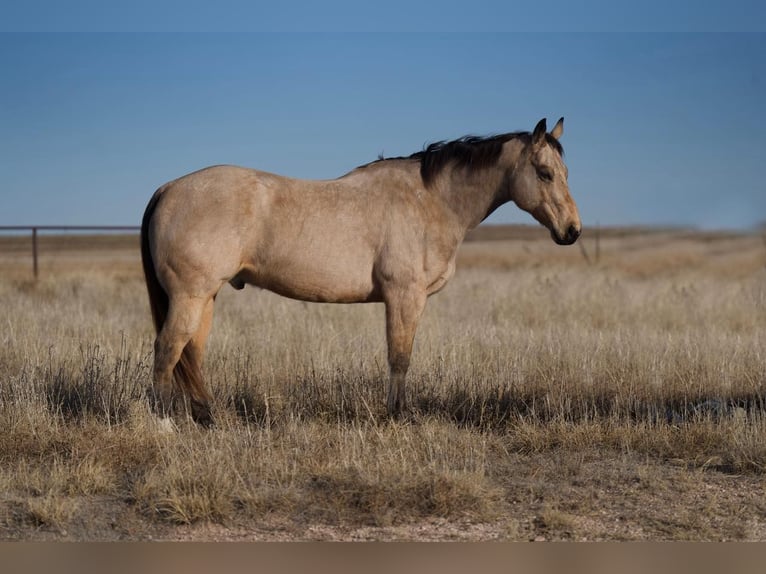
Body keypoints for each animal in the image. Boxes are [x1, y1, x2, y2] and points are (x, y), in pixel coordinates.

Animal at [141, 117, 584, 428]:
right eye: (544, 173)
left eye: (566, 173)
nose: (572, 231)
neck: (431, 200)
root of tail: (168, 189)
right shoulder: (404, 296)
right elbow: (399, 358)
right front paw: (398, 416)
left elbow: (401, 357)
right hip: (191, 295)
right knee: (168, 349)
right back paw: (164, 423)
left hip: (206, 296)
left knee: (191, 352)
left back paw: (208, 417)